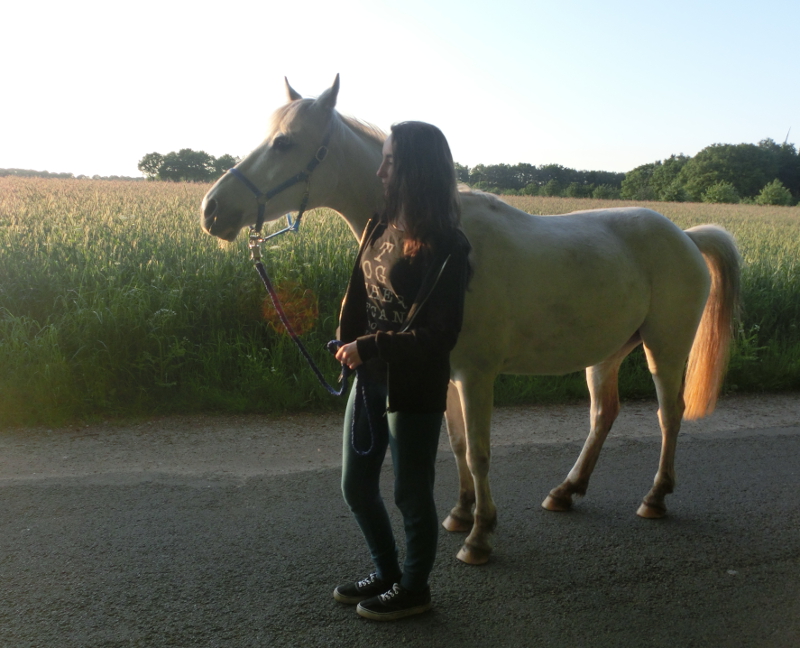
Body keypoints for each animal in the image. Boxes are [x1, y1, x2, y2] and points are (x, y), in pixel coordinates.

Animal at [200, 75, 741, 565]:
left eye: (284, 142)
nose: (211, 209)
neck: (438, 242)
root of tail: (687, 236)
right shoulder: (443, 373)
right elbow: (459, 446)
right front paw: (461, 515)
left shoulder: (475, 375)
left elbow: (480, 451)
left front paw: (480, 536)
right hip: (607, 354)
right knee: (603, 415)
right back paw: (567, 490)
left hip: (664, 348)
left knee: (669, 414)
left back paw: (655, 497)